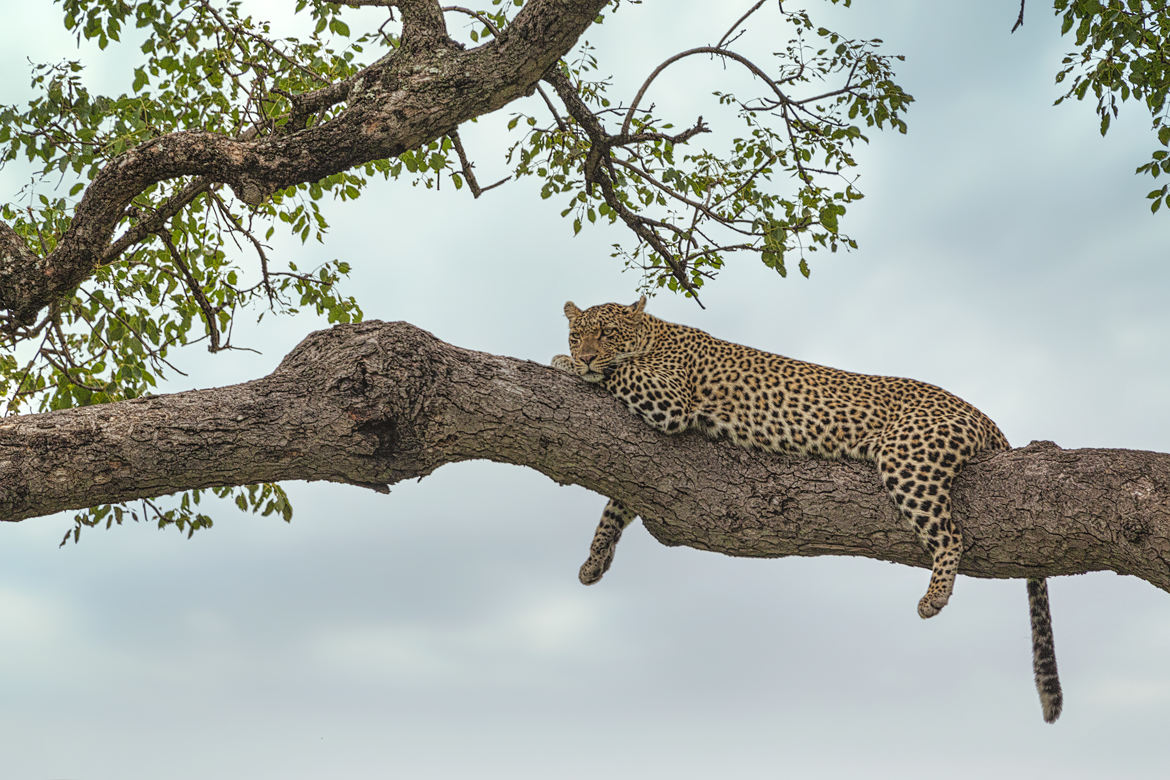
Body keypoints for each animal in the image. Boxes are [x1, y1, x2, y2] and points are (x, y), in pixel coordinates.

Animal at [552, 295, 1067, 725]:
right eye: (579, 334)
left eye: (607, 334)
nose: (585, 355)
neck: (654, 333)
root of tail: (985, 417)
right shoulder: (638, 471)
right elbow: (616, 503)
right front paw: (594, 562)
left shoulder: (670, 401)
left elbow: (621, 374)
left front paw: (567, 365)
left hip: (908, 458)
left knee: (950, 535)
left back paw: (934, 597)